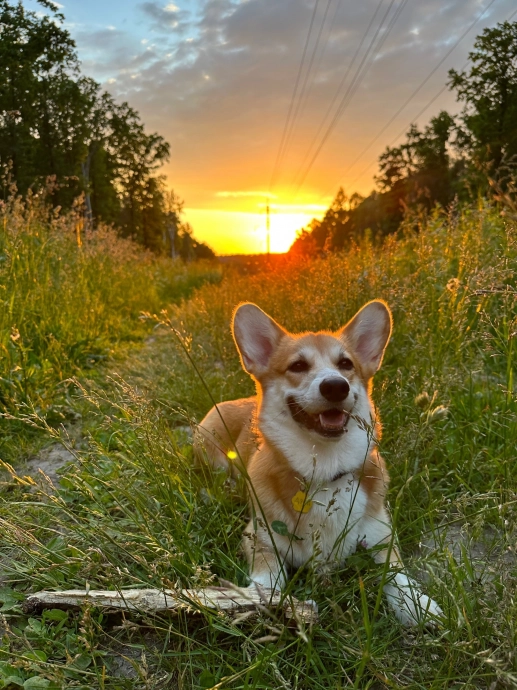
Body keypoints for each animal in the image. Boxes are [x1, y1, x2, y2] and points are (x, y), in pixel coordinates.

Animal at [196, 300, 442, 624]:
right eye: (298, 366)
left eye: (346, 364)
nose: (336, 386)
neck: (326, 466)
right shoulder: (257, 536)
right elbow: (268, 576)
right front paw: (261, 599)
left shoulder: (381, 536)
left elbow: (396, 574)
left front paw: (416, 604)